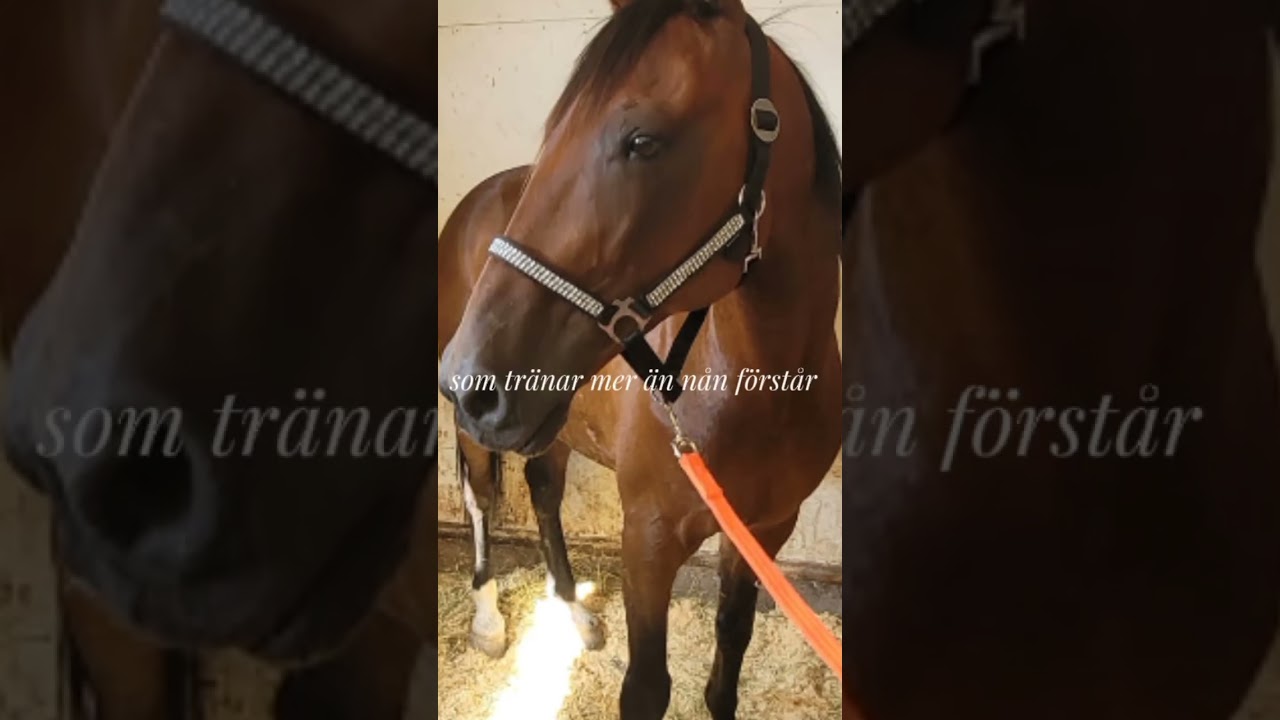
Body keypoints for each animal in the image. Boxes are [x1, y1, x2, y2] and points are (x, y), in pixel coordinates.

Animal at [438, 1, 843, 718]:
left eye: (643, 142)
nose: (467, 378)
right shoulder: (647, 543)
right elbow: (647, 687)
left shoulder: (765, 532)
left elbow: (730, 648)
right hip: (483, 433)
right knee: (482, 499)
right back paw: (487, 623)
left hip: (550, 420)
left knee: (544, 495)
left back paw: (575, 617)